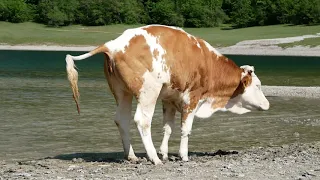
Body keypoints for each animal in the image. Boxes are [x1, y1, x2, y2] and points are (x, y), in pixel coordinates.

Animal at [65, 24, 270, 165]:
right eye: (259, 86)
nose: (268, 104)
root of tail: (113, 44)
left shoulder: (169, 99)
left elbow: (168, 128)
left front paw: (164, 152)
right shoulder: (192, 98)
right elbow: (185, 129)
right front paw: (183, 155)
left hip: (122, 92)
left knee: (121, 119)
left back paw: (132, 156)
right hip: (148, 92)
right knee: (141, 120)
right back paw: (153, 158)